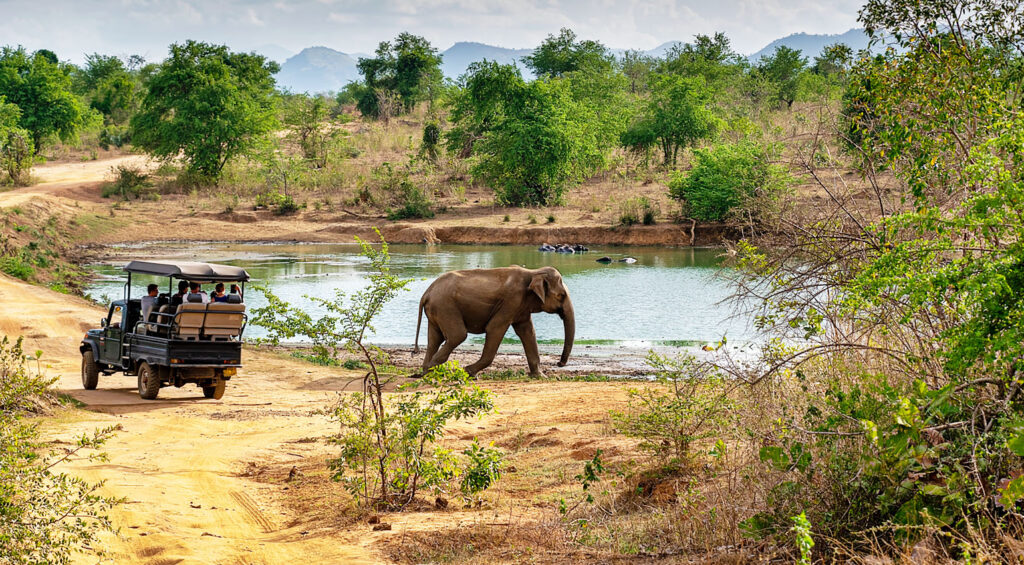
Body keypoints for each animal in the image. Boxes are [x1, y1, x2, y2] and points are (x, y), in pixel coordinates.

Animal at [415, 266, 577, 378]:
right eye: (561, 295)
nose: (559, 363)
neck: (534, 272)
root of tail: (426, 293)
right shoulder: (511, 301)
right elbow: (494, 328)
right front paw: (468, 372)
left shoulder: (521, 307)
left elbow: (528, 332)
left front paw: (540, 377)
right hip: (446, 307)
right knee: (457, 336)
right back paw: (431, 369)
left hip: (437, 310)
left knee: (434, 339)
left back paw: (425, 372)